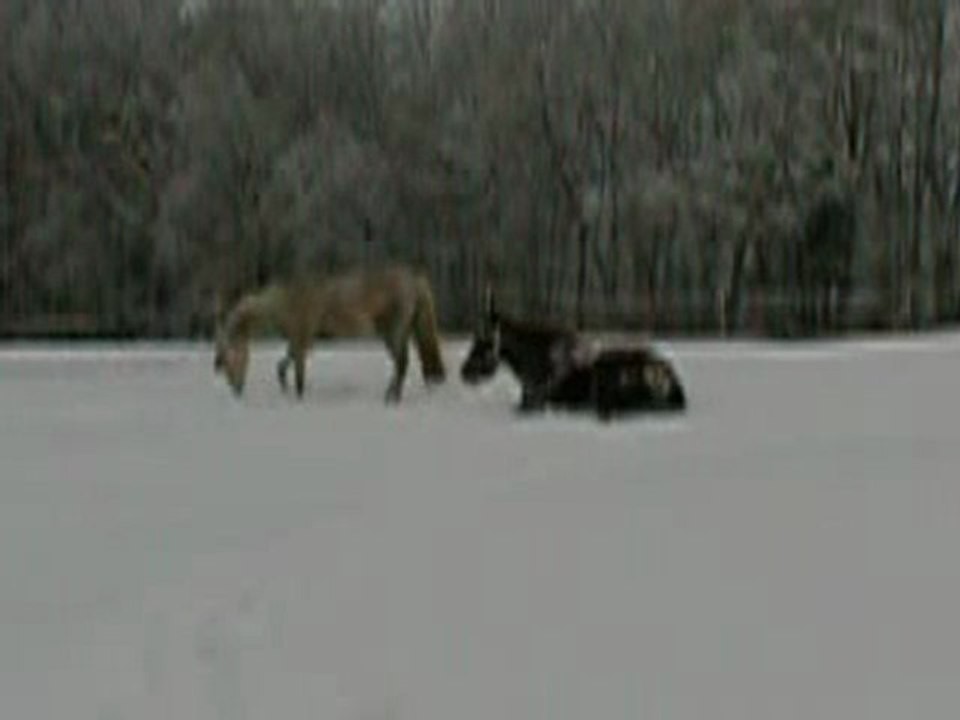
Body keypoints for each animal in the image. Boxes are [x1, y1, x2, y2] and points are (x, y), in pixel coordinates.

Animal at [213, 264, 446, 403]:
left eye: (229, 360)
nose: (235, 390)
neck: (285, 301)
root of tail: (414, 279)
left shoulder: (301, 338)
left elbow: (297, 372)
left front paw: (298, 396)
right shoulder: (300, 341)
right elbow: (283, 366)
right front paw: (286, 391)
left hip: (393, 330)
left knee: (401, 363)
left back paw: (391, 398)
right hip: (400, 331)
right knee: (402, 363)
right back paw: (392, 396)